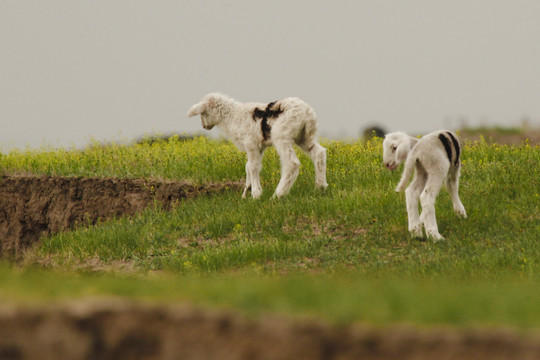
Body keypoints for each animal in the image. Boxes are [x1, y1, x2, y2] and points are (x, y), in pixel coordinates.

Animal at [186, 93, 330, 198]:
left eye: (203, 113)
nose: (204, 126)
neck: (232, 116)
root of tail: (308, 114)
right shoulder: (259, 146)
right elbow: (248, 166)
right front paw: (246, 193)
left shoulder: (250, 142)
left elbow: (253, 167)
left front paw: (256, 194)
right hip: (304, 137)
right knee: (319, 153)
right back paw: (320, 187)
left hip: (281, 136)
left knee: (292, 163)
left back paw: (278, 195)